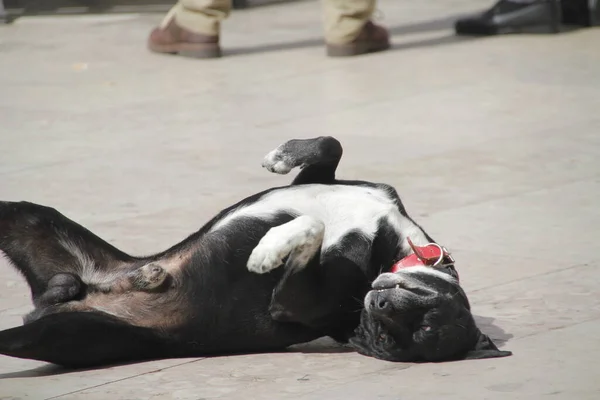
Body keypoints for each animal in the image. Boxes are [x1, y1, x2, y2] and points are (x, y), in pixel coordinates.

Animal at [0, 136, 510, 368]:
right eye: (427, 309)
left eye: (398, 339)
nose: (379, 305)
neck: (394, 246)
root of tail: (48, 300)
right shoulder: (329, 182)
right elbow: (329, 146)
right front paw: (280, 156)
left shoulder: (296, 300)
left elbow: (310, 227)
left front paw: (267, 251)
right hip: (25, 217)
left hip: (63, 334)